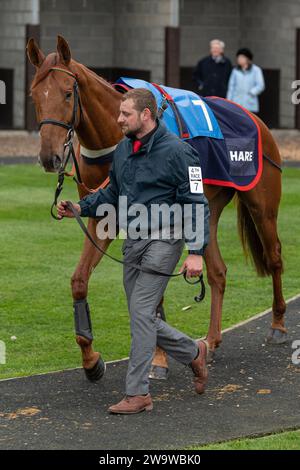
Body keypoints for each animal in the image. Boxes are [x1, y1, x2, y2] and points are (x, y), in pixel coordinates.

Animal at [26, 35, 286, 382]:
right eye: (34, 96)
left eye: (68, 93)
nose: (49, 157)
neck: (119, 136)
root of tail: (251, 115)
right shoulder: (102, 217)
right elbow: (80, 281)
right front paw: (91, 360)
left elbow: (153, 291)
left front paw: (157, 359)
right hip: (206, 211)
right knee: (217, 272)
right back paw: (212, 340)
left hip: (262, 205)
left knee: (274, 257)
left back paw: (278, 324)